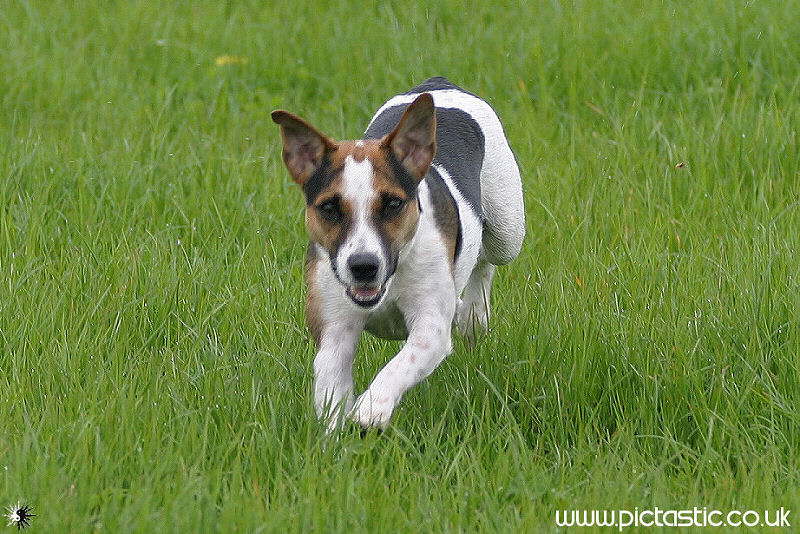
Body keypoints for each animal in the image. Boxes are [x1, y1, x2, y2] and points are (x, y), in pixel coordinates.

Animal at [272, 76, 528, 432]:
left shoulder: (430, 325)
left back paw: (474, 313)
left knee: (487, 259)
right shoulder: (334, 326)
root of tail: (438, 83)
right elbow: (331, 377)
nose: (363, 266)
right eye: (329, 208)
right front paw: (336, 433)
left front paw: (371, 408)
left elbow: (403, 361)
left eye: (393, 203)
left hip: (507, 227)